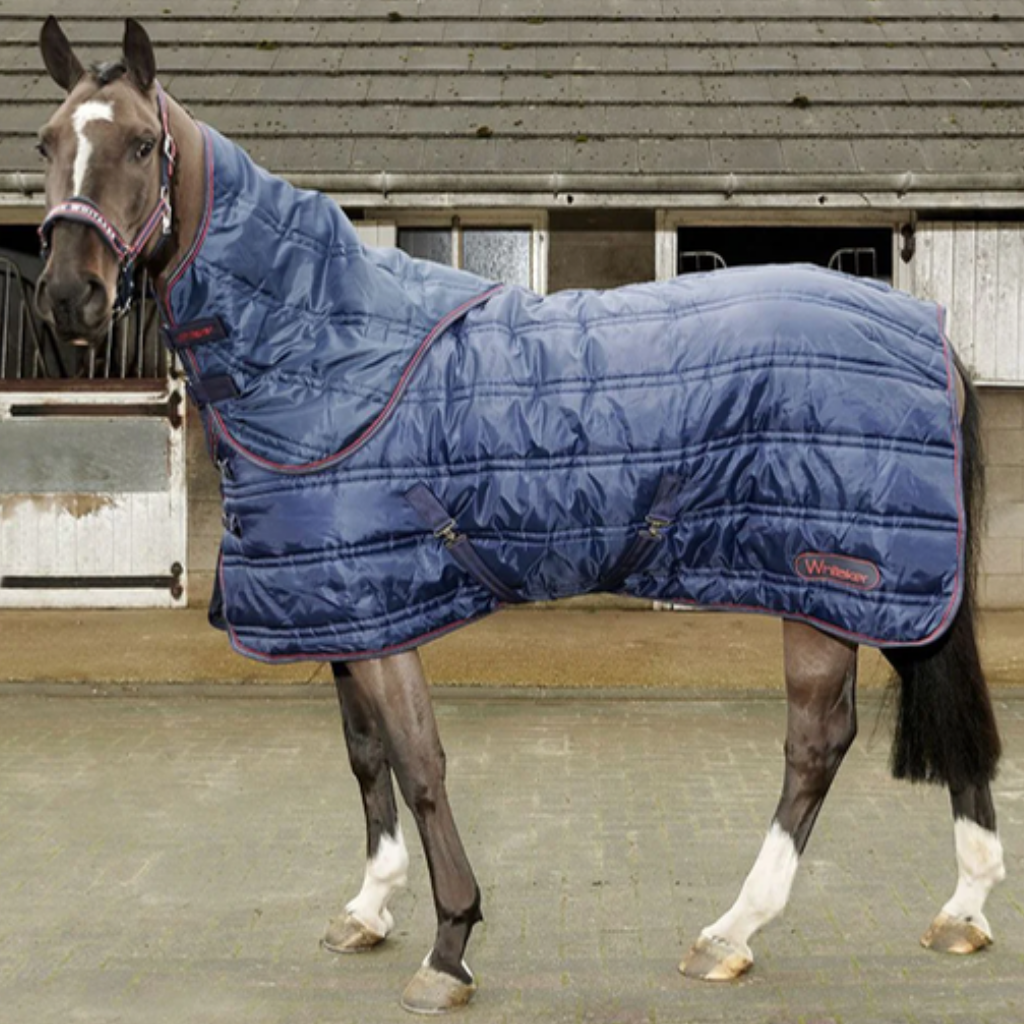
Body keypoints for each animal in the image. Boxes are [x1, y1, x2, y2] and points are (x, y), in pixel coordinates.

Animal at [34, 17, 1005, 1015]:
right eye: (48, 143)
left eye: (139, 144)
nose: (70, 297)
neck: (319, 348)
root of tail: (928, 332)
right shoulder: (344, 604)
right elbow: (365, 756)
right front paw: (369, 908)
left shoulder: (385, 616)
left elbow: (420, 765)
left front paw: (449, 945)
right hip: (874, 592)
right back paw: (962, 909)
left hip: (834, 587)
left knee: (817, 743)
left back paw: (734, 930)